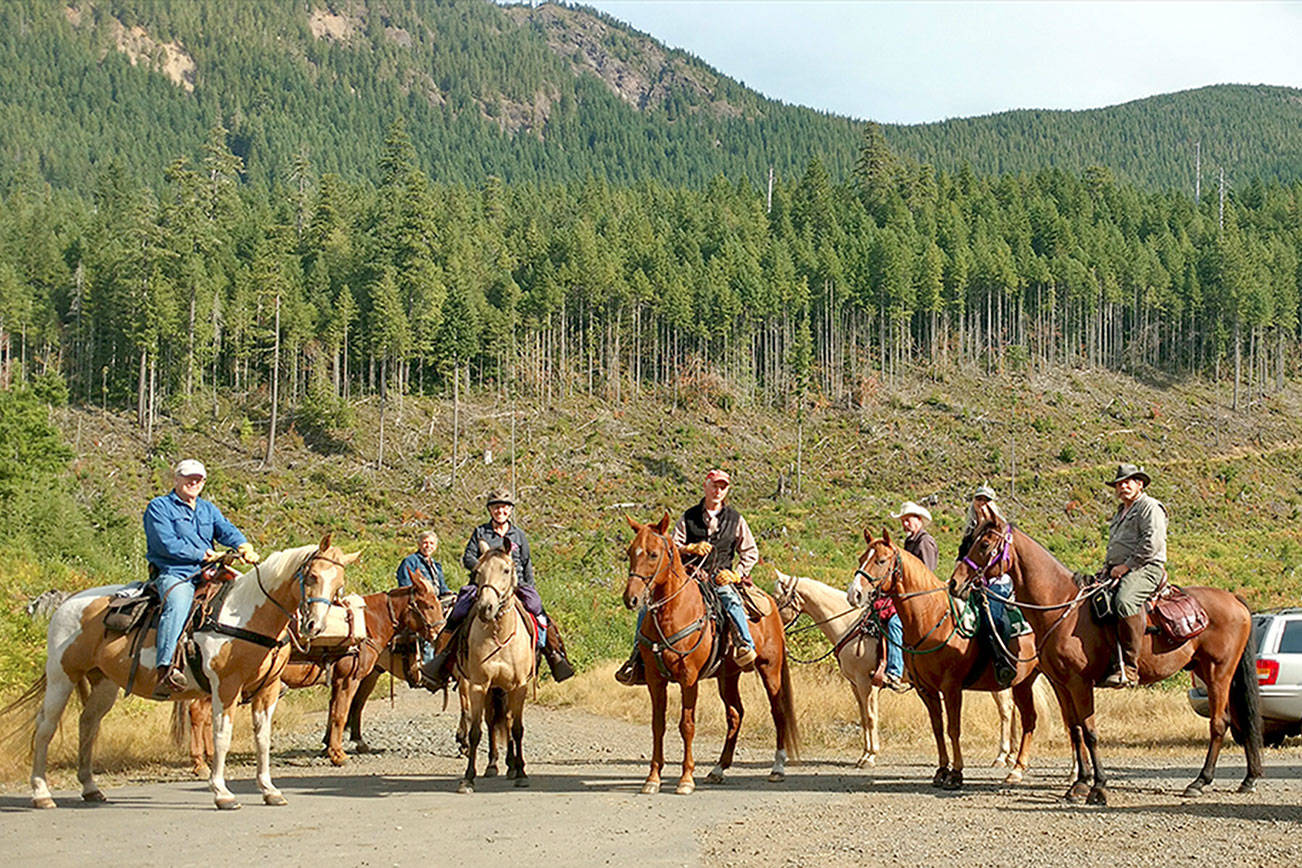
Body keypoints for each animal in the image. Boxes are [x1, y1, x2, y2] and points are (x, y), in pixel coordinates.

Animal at [16, 533, 361, 812]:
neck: (246, 615)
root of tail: (66, 604)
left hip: (103, 683)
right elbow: (222, 737)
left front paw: (269, 790)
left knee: (88, 724)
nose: (314, 626)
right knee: (45, 727)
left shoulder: (268, 689)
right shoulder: (226, 687)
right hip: (62, 676)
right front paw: (222, 793)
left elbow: (262, 738)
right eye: (312, 576)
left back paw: (90, 788)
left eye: (338, 583)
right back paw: (41, 793)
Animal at [458, 538, 539, 796]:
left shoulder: (519, 686)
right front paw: (468, 779)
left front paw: (521, 773)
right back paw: (493, 764)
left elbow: (517, 729)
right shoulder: (478, 686)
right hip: (492, 691)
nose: (486, 608)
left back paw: (512, 766)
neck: (500, 634)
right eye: (478, 571)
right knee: (492, 721)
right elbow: (475, 732)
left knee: (509, 721)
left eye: (506, 570)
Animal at [622, 512, 796, 796]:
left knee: (778, 711)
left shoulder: (688, 678)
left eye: (653, 554)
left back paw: (777, 767)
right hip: (728, 676)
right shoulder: (655, 680)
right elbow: (658, 726)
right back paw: (718, 769)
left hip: (770, 669)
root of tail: (770, 601)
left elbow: (687, 725)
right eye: (630, 552)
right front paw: (653, 778)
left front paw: (685, 779)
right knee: (735, 715)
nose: (632, 599)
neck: (673, 613)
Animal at [848, 525, 1041, 791]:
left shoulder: (951, 687)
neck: (931, 617)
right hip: (1025, 682)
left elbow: (953, 729)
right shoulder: (926, 689)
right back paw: (1020, 768)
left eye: (881, 560)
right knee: (1032, 719)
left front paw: (957, 773)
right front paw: (941, 770)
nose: (854, 594)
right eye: (860, 558)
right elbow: (938, 729)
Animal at [947, 504, 1260, 806]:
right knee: (1239, 719)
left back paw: (1200, 782)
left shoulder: (1079, 683)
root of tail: (1234, 599)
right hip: (1215, 673)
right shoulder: (1061, 684)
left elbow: (1090, 732)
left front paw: (1098, 787)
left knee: (1219, 723)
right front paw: (1080, 783)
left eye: (984, 545)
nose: (954, 584)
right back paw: (1249, 779)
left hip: (1219, 673)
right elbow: (1075, 730)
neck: (1063, 607)